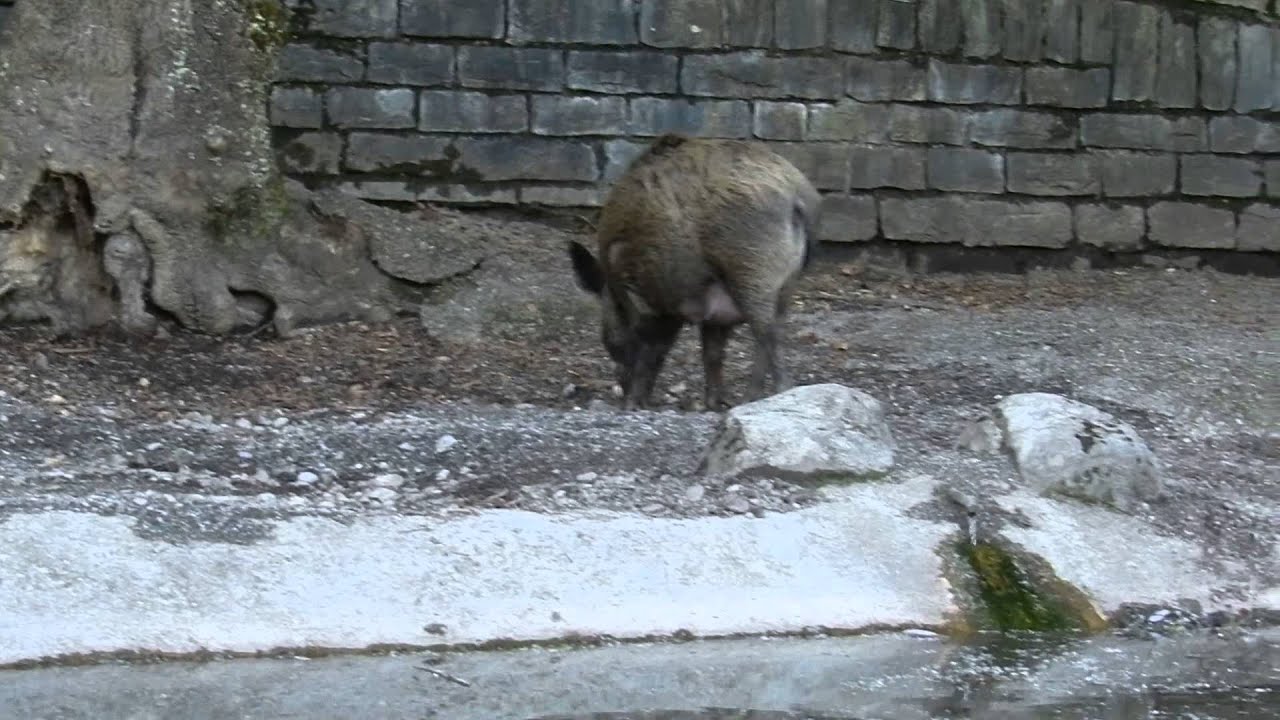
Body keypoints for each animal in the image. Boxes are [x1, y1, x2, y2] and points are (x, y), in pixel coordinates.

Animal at [568, 133, 821, 411]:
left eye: (609, 341)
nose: (623, 398)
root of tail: (796, 195)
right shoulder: (715, 314)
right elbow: (711, 353)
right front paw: (712, 404)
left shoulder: (649, 301)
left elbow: (653, 350)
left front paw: (635, 404)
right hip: (785, 284)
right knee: (768, 335)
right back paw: (748, 400)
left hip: (752, 271)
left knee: (768, 336)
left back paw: (767, 396)